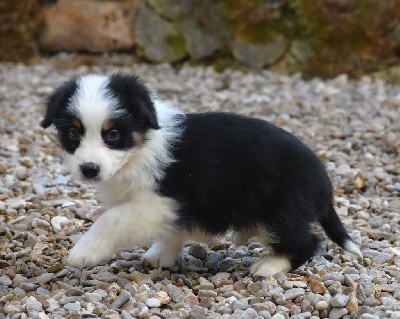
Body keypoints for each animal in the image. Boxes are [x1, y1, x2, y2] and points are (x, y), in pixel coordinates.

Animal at [40, 72, 362, 278]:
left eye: (113, 134)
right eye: (73, 134)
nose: (89, 169)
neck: (140, 147)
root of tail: (324, 182)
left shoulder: (160, 203)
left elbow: (112, 219)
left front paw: (83, 252)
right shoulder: (169, 211)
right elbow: (170, 232)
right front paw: (160, 257)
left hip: (280, 213)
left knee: (307, 243)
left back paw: (269, 267)